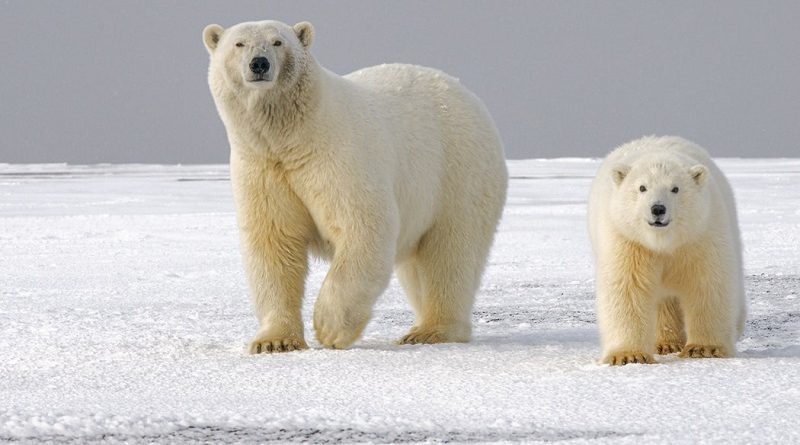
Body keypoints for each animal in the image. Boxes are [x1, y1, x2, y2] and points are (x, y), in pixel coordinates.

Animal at [203, 20, 510, 354]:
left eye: (277, 42)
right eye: (239, 44)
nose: (259, 63)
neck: (293, 137)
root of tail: (465, 93)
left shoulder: (338, 157)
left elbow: (363, 226)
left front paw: (330, 328)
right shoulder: (262, 168)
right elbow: (274, 243)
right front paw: (275, 341)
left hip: (457, 172)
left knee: (450, 252)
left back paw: (431, 330)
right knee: (419, 265)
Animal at [584, 135, 748, 364]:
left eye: (675, 188)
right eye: (642, 187)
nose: (658, 209)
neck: (664, 242)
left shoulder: (700, 236)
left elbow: (708, 284)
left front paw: (704, 348)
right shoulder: (628, 240)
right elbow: (627, 288)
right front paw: (629, 355)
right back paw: (666, 343)